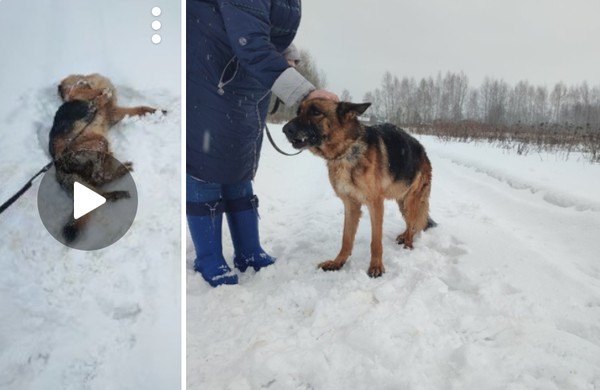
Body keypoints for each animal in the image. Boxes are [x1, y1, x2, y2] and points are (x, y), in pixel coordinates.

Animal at [49, 73, 158, 241]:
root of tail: (58, 164)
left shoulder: (113, 112)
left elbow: (139, 108)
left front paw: (156, 111)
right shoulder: (91, 103)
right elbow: (99, 98)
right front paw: (105, 93)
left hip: (101, 153)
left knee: (98, 189)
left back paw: (116, 192)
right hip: (99, 142)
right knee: (99, 178)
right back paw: (122, 170)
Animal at [282, 100, 436, 278]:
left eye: (315, 112)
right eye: (298, 112)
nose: (284, 129)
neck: (346, 152)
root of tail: (423, 151)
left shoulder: (375, 205)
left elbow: (376, 241)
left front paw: (376, 266)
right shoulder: (351, 205)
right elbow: (346, 239)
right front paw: (337, 263)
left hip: (410, 201)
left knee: (412, 224)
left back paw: (408, 245)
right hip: (402, 202)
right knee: (411, 224)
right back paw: (403, 236)